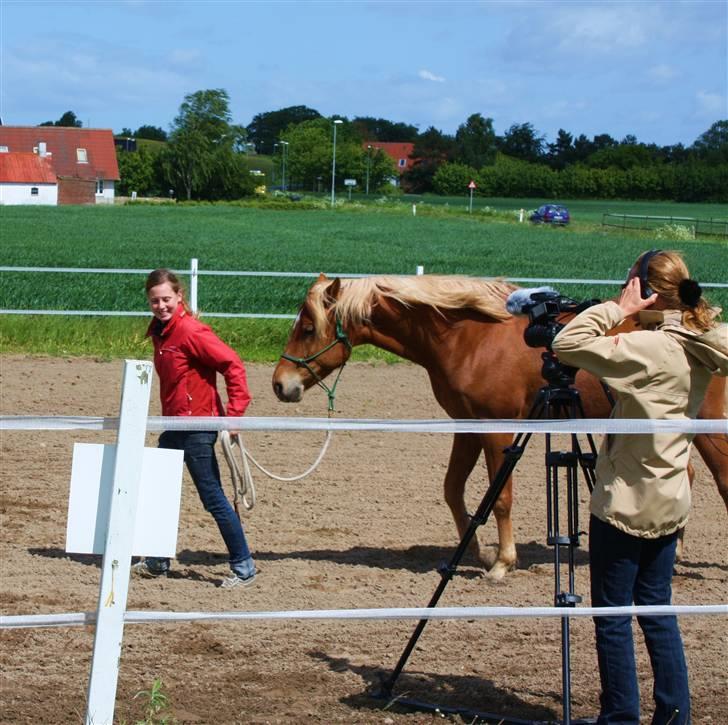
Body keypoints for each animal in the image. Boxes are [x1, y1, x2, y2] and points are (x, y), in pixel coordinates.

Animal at [272, 274, 728, 580]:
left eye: (308, 328)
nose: (280, 384)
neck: (468, 337)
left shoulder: (498, 429)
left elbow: (501, 497)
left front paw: (503, 563)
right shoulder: (467, 426)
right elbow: (454, 490)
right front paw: (475, 551)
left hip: (710, 433)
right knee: (683, 477)